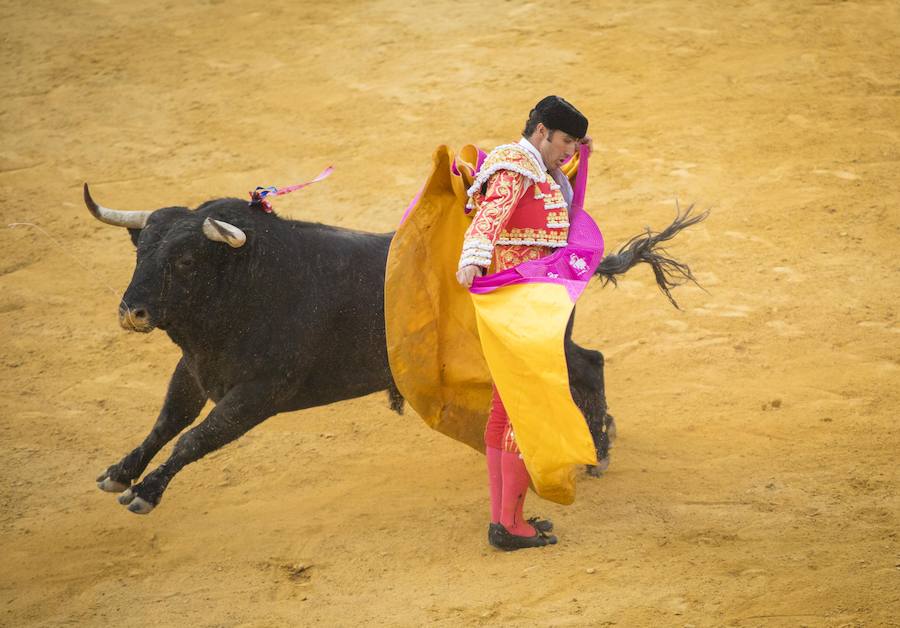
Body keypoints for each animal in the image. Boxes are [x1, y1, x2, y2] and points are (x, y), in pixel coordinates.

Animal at [84, 180, 704, 510]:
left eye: (187, 261)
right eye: (141, 251)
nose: (132, 311)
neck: (244, 282)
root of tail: (559, 249)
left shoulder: (258, 393)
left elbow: (194, 437)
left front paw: (146, 493)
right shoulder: (195, 370)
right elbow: (167, 422)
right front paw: (119, 472)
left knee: (588, 365)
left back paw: (596, 451)